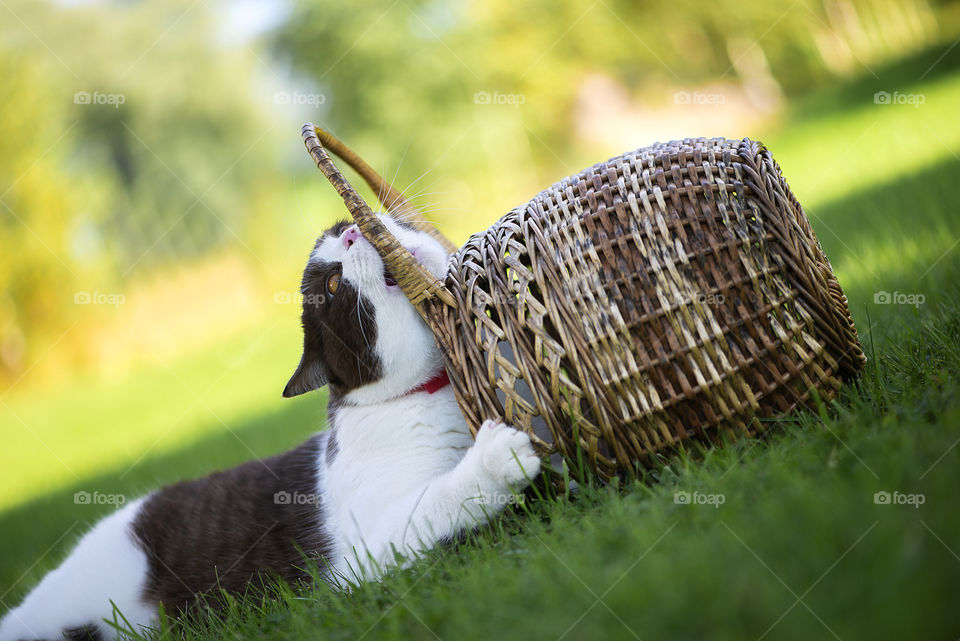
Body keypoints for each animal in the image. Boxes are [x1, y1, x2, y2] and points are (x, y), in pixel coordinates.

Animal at [0, 216, 540, 640]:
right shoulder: (360, 556)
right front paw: (496, 460)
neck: (433, 392)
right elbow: (435, 503)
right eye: (332, 287)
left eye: (337, 232)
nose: (349, 231)